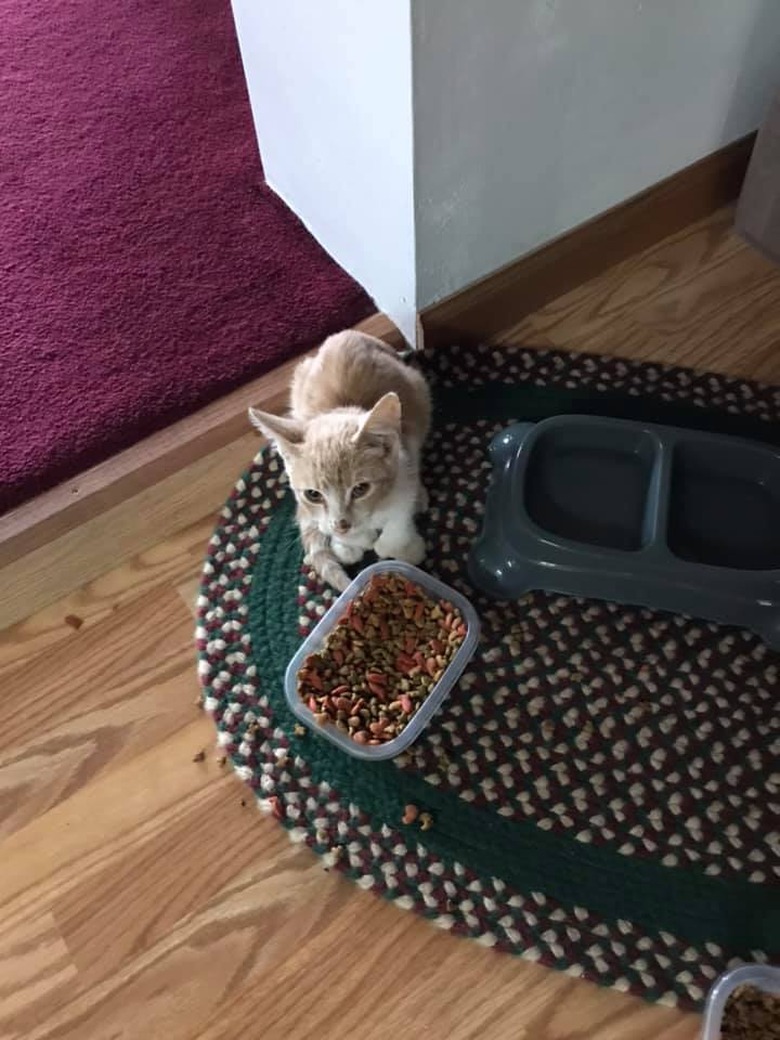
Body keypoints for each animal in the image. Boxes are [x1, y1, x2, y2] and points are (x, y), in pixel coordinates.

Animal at [250, 332, 434, 594]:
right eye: (313, 494)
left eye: (360, 489)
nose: (341, 524)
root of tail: (345, 334)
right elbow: (330, 527)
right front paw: (350, 544)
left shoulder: (406, 460)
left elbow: (399, 515)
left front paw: (399, 546)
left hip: (419, 390)